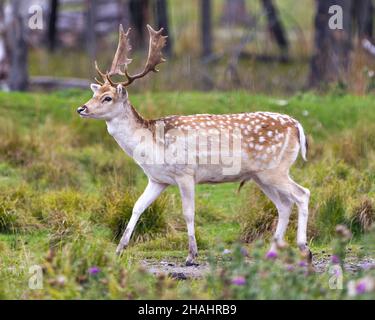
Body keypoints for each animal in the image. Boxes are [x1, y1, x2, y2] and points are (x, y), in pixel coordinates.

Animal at [77, 25, 312, 264]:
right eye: (95, 93)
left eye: (107, 98)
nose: (81, 109)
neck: (152, 144)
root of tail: (297, 126)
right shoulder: (157, 179)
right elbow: (137, 207)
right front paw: (119, 249)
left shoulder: (186, 173)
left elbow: (188, 212)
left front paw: (191, 255)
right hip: (260, 176)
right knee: (284, 204)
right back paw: (271, 252)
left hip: (275, 169)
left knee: (302, 194)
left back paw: (304, 250)